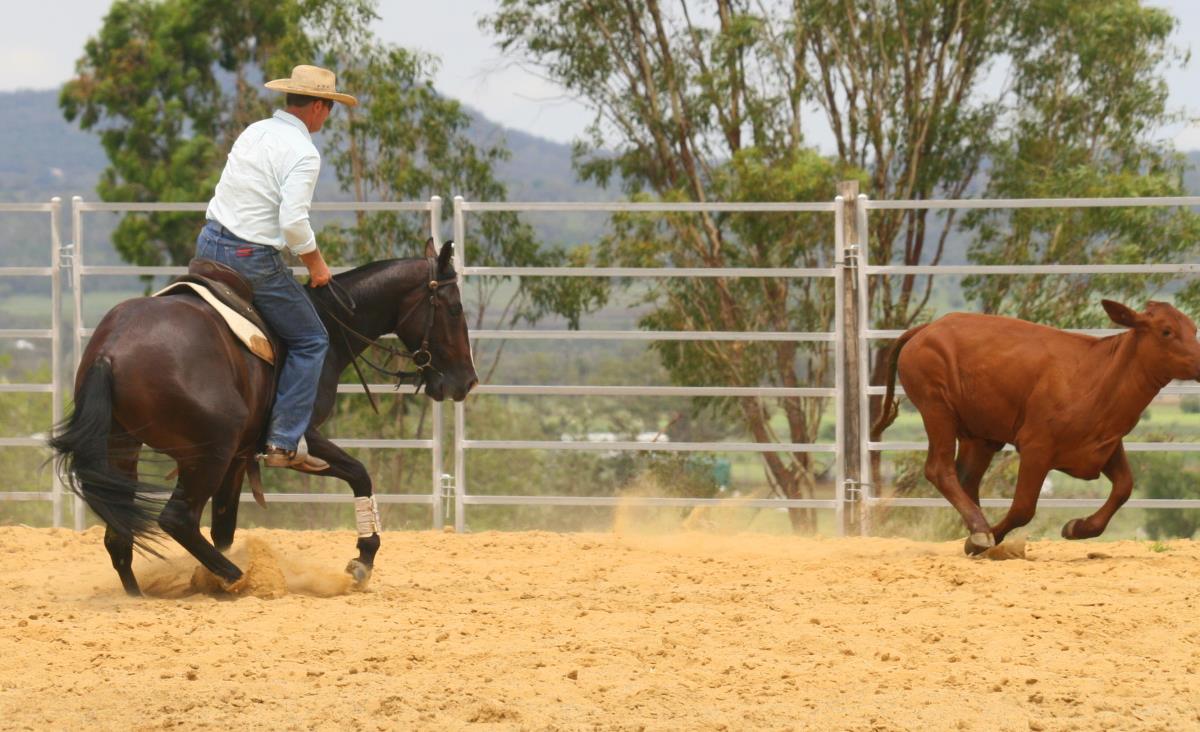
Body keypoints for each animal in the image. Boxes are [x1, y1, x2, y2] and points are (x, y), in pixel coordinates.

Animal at [50, 239, 477, 595]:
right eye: (455, 309)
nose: (467, 381)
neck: (330, 325)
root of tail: (111, 350)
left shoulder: (241, 458)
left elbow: (224, 526)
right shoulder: (298, 437)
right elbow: (359, 474)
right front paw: (362, 560)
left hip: (124, 445)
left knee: (120, 537)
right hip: (208, 453)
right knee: (177, 519)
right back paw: (241, 578)